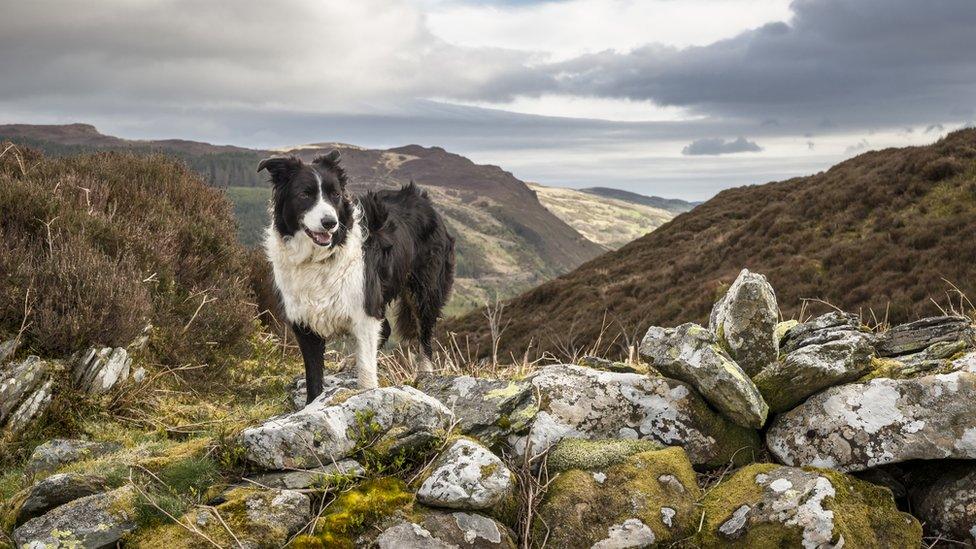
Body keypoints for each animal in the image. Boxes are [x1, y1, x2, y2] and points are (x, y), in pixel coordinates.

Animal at [260, 150, 458, 402]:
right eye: (305, 194)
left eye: (335, 195)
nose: (330, 223)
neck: (320, 258)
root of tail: (423, 199)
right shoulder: (304, 322)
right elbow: (313, 378)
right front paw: (312, 403)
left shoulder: (364, 311)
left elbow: (366, 371)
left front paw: (368, 395)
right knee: (387, 330)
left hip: (423, 291)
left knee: (424, 335)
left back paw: (425, 374)